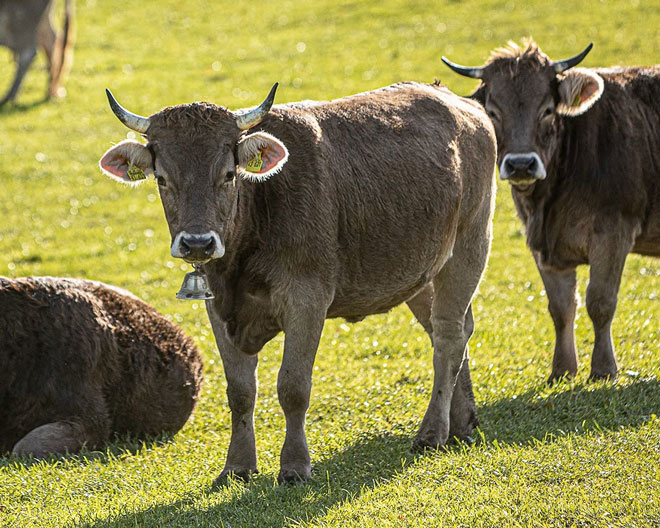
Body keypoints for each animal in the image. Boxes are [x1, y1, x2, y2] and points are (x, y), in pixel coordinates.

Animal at [99, 81, 496, 482]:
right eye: (163, 178)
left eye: (228, 174)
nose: (198, 243)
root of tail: (455, 100)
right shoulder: (217, 308)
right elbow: (240, 391)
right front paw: (237, 466)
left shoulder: (307, 299)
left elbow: (293, 386)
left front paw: (294, 465)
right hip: (421, 270)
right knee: (457, 330)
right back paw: (461, 422)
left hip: (469, 244)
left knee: (448, 335)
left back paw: (432, 432)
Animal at [440, 39, 660, 382]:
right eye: (493, 112)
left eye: (546, 109)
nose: (521, 164)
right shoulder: (542, 245)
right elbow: (560, 307)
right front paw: (562, 369)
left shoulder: (614, 231)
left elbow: (600, 301)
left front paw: (604, 369)